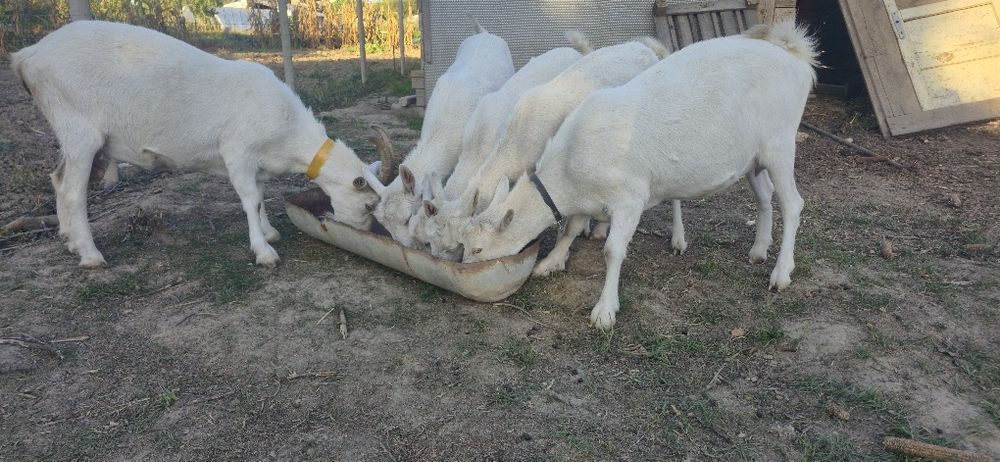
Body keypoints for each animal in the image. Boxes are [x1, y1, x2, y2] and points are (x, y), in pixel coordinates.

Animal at [12, 20, 382, 267]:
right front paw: (264, 252)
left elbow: (261, 196)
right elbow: (250, 200)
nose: (367, 233)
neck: (288, 132)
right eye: (368, 204)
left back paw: (70, 241)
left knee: (57, 179)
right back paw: (90, 255)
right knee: (72, 189)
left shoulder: (256, 162)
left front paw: (269, 232)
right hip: (78, 127)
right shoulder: (237, 151)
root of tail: (27, 56)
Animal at [457, 22, 816, 330]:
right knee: (765, 196)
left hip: (780, 143)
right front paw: (550, 263)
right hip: (754, 157)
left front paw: (605, 310)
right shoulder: (587, 199)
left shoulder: (629, 198)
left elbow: (612, 251)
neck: (567, 167)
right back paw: (758, 250)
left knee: (793, 205)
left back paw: (781, 273)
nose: (462, 268)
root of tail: (793, 54)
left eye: (477, 249)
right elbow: (571, 229)